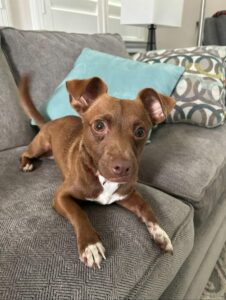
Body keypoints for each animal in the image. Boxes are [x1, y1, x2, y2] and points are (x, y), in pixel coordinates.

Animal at [19, 76, 175, 268]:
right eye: (99, 126)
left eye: (140, 131)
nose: (123, 168)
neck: (103, 180)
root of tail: (49, 122)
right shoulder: (61, 196)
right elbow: (79, 213)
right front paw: (91, 245)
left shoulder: (127, 195)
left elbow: (146, 207)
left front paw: (160, 233)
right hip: (40, 146)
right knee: (24, 153)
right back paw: (27, 164)